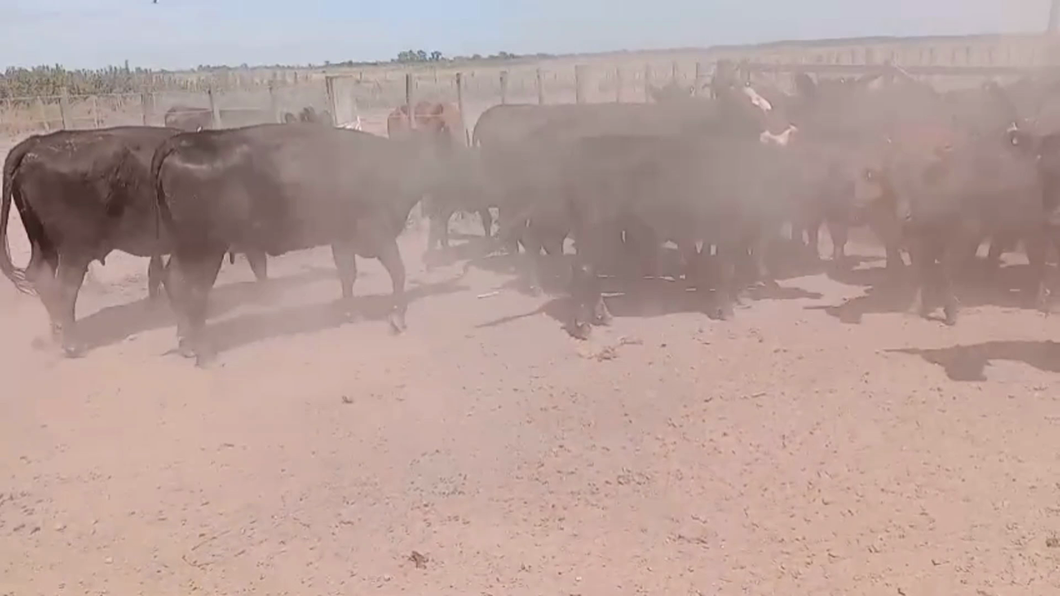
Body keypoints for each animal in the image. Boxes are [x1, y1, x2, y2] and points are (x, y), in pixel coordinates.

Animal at [0, 127, 268, 356]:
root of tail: (38, 142)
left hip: (43, 243)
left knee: (41, 276)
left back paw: (57, 333)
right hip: (74, 250)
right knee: (64, 288)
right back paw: (73, 344)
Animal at [151, 123, 455, 365]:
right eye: (453, 149)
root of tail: (182, 141)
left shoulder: (342, 238)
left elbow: (348, 275)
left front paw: (351, 313)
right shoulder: (377, 232)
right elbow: (398, 272)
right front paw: (398, 320)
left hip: (187, 247)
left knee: (174, 281)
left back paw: (188, 343)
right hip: (204, 247)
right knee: (191, 289)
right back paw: (204, 352)